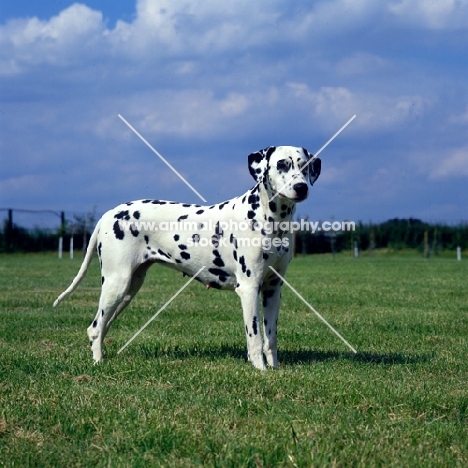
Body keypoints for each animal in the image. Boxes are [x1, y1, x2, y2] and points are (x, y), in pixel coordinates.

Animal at [53, 146, 320, 370]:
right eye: (282, 164)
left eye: (305, 166)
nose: (301, 187)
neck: (270, 218)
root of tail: (108, 214)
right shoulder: (249, 288)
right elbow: (255, 337)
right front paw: (260, 370)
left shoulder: (273, 289)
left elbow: (270, 337)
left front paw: (274, 369)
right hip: (116, 285)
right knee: (95, 328)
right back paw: (98, 362)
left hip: (128, 290)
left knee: (102, 325)